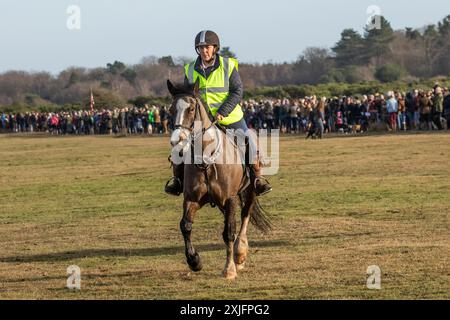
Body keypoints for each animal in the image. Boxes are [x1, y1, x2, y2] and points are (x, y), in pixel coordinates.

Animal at [166, 79, 268, 278]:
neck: (207, 159)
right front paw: (194, 261)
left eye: (191, 109)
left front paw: (229, 269)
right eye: (171, 109)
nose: (177, 141)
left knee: (245, 215)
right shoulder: (191, 199)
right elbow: (185, 226)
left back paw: (240, 253)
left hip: (250, 191)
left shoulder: (230, 199)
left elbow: (229, 232)